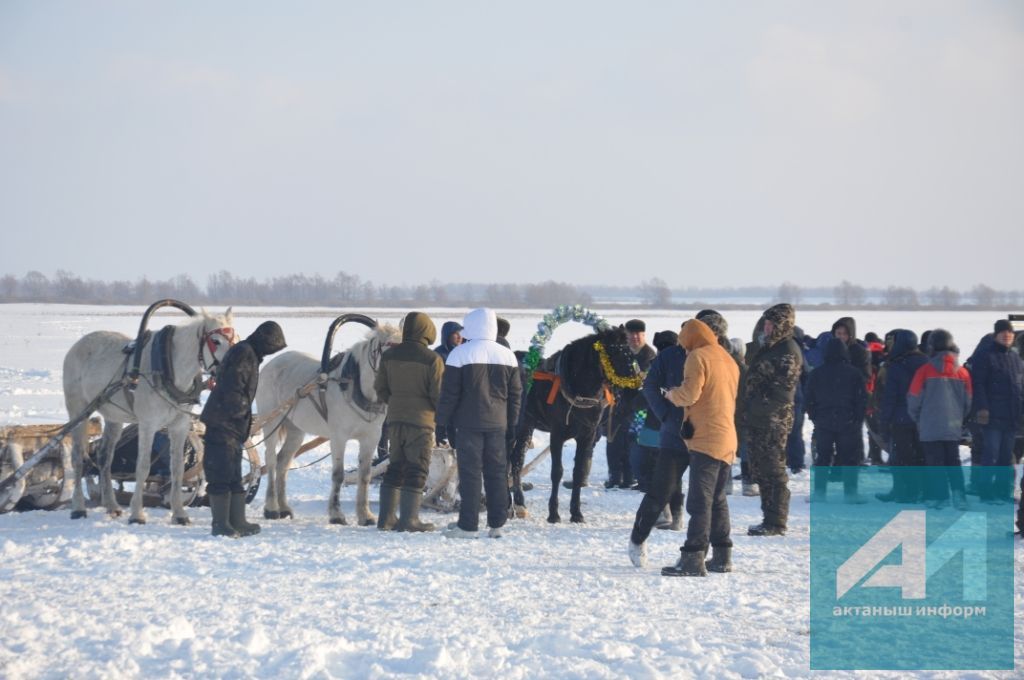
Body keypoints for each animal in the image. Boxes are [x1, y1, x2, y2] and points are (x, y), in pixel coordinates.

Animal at [65, 311, 236, 522]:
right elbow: (143, 466)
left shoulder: (179, 425)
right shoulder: (148, 424)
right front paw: (137, 513)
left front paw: (179, 514)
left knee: (105, 457)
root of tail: (78, 344)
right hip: (78, 410)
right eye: (215, 341)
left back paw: (111, 505)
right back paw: (78, 507)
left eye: (236, 338)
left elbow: (177, 468)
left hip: (113, 416)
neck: (169, 368)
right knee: (77, 458)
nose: (231, 367)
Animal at [256, 323, 399, 524]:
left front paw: (365, 515)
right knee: (270, 460)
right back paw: (271, 508)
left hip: (295, 429)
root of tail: (272, 363)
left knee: (282, 462)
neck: (355, 387)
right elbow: (338, 475)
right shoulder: (339, 437)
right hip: (271, 420)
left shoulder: (371, 437)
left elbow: (365, 475)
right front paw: (336, 514)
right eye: (388, 349)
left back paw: (284, 507)